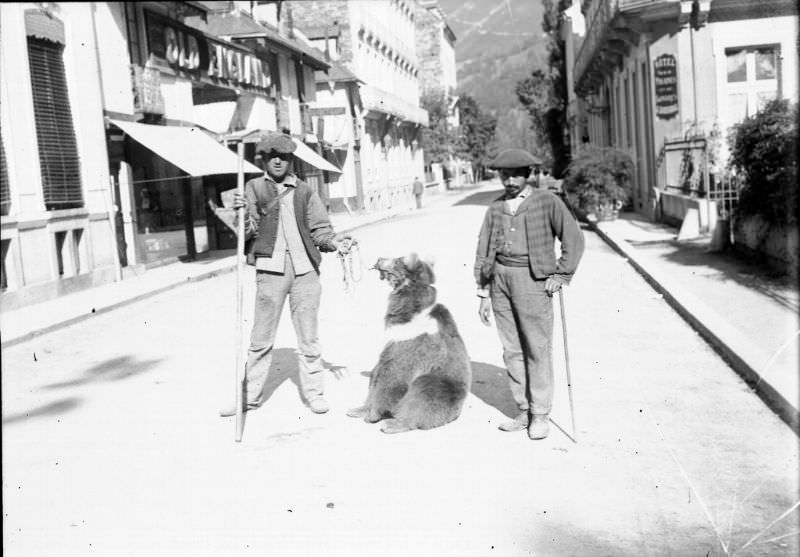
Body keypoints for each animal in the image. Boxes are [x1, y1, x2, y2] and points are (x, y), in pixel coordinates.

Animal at [346, 253, 472, 434]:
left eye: (397, 260)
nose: (379, 259)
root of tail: (456, 413)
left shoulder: (412, 344)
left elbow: (392, 376)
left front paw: (372, 416)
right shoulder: (392, 341)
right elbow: (376, 373)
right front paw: (359, 409)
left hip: (441, 383)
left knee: (422, 395)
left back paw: (393, 424)